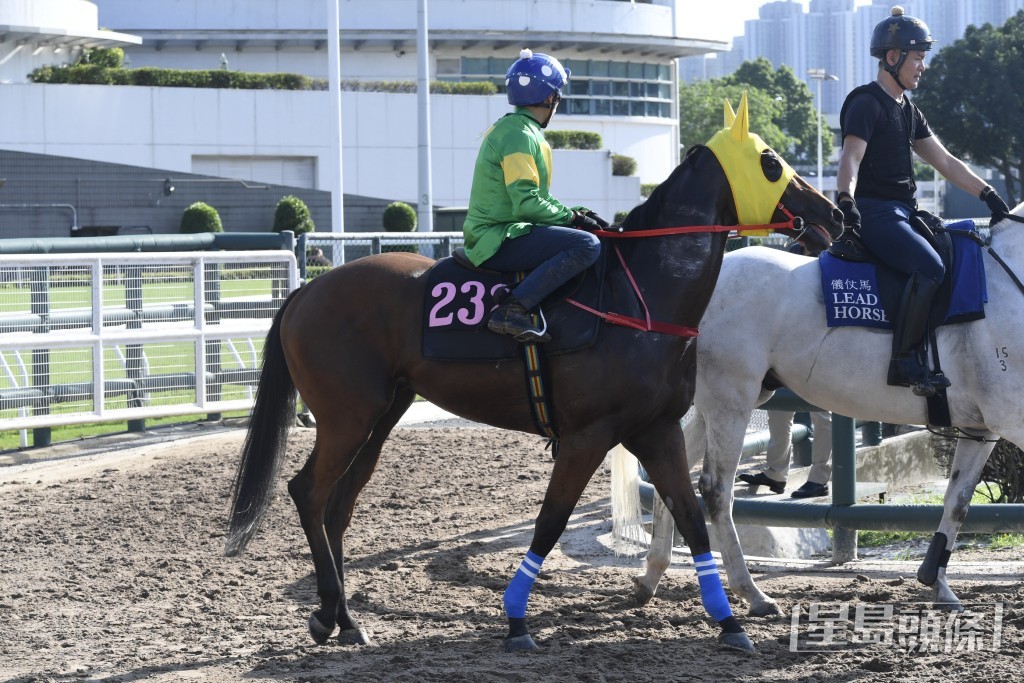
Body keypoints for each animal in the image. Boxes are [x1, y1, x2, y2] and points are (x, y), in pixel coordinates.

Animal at [224, 94, 839, 651]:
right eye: (771, 161)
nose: (838, 214)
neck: (640, 293)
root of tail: (306, 291)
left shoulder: (655, 429)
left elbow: (689, 514)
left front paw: (730, 621)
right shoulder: (588, 435)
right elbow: (551, 520)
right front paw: (517, 620)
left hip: (380, 416)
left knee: (339, 504)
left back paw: (343, 619)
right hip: (346, 416)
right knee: (308, 492)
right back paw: (333, 610)